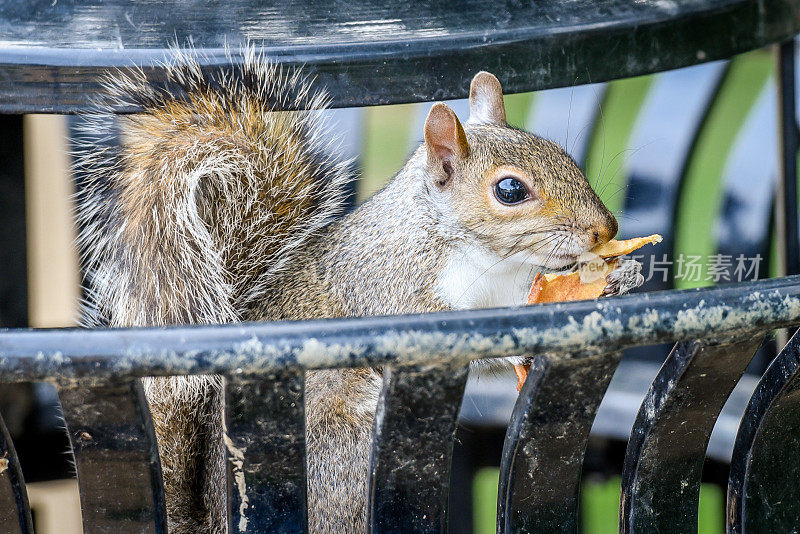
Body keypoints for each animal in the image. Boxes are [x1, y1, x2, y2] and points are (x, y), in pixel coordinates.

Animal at [75, 47, 644, 534]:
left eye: (562, 154)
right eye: (509, 190)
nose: (606, 229)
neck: (481, 257)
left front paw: (618, 277)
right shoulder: (392, 290)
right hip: (339, 453)